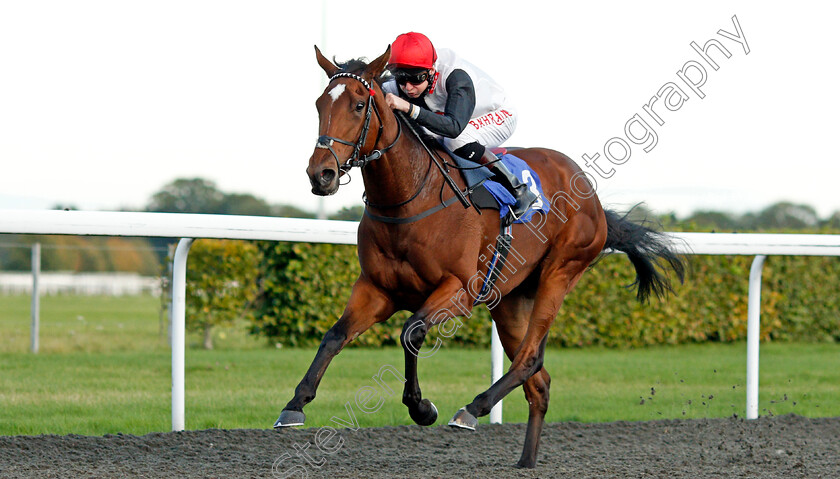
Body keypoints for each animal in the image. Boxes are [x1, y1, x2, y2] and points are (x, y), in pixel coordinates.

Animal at [276, 46, 684, 468]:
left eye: (359, 105)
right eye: (320, 104)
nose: (321, 174)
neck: (408, 197)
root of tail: (593, 197)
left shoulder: (459, 290)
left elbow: (411, 332)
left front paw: (422, 408)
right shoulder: (376, 290)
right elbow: (334, 336)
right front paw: (295, 405)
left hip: (560, 271)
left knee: (529, 358)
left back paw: (472, 409)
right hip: (509, 300)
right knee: (539, 382)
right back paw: (525, 461)